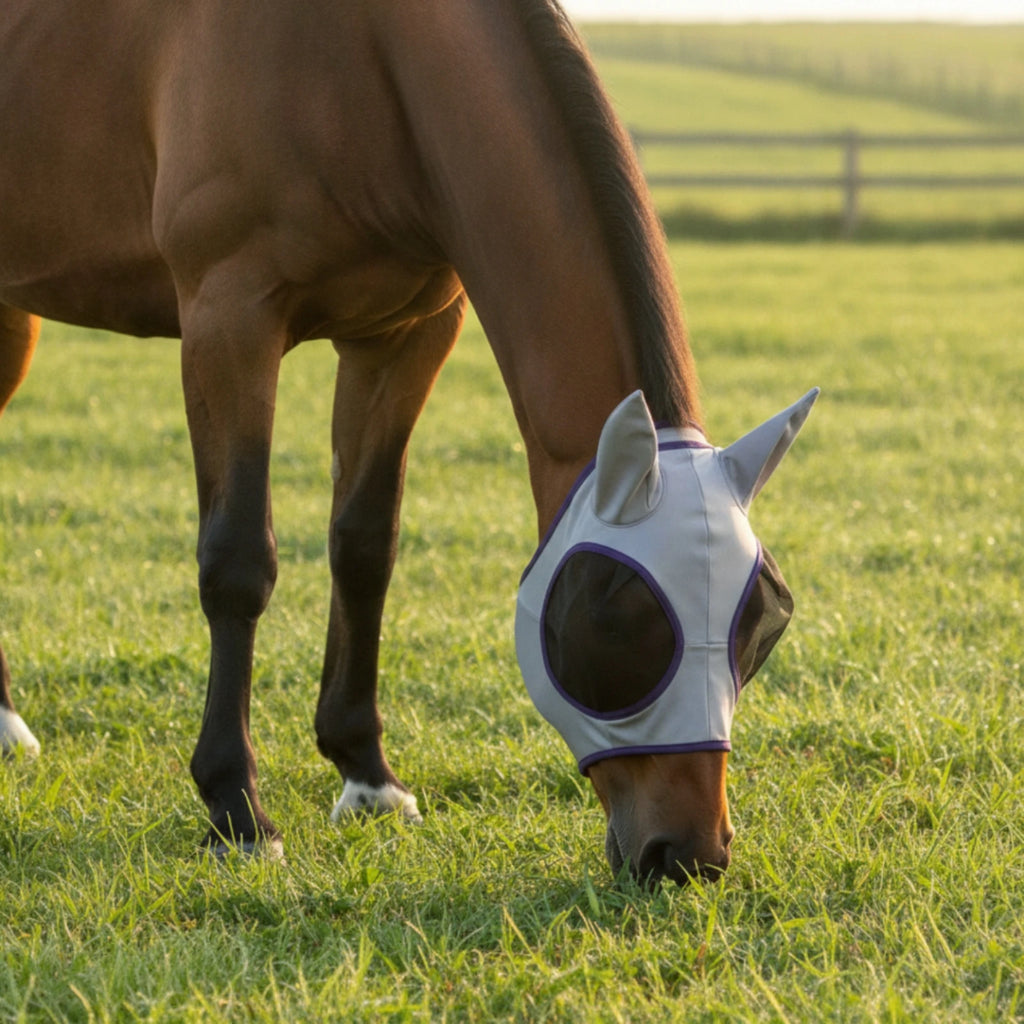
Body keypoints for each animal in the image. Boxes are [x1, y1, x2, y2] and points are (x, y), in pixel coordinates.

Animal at [0, 0, 815, 884]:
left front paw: (367, 776)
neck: (357, 55)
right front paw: (236, 807)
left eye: (764, 622)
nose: (689, 855)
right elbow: (238, 561)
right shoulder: (228, 318)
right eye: (614, 619)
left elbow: (365, 545)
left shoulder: (402, 337)